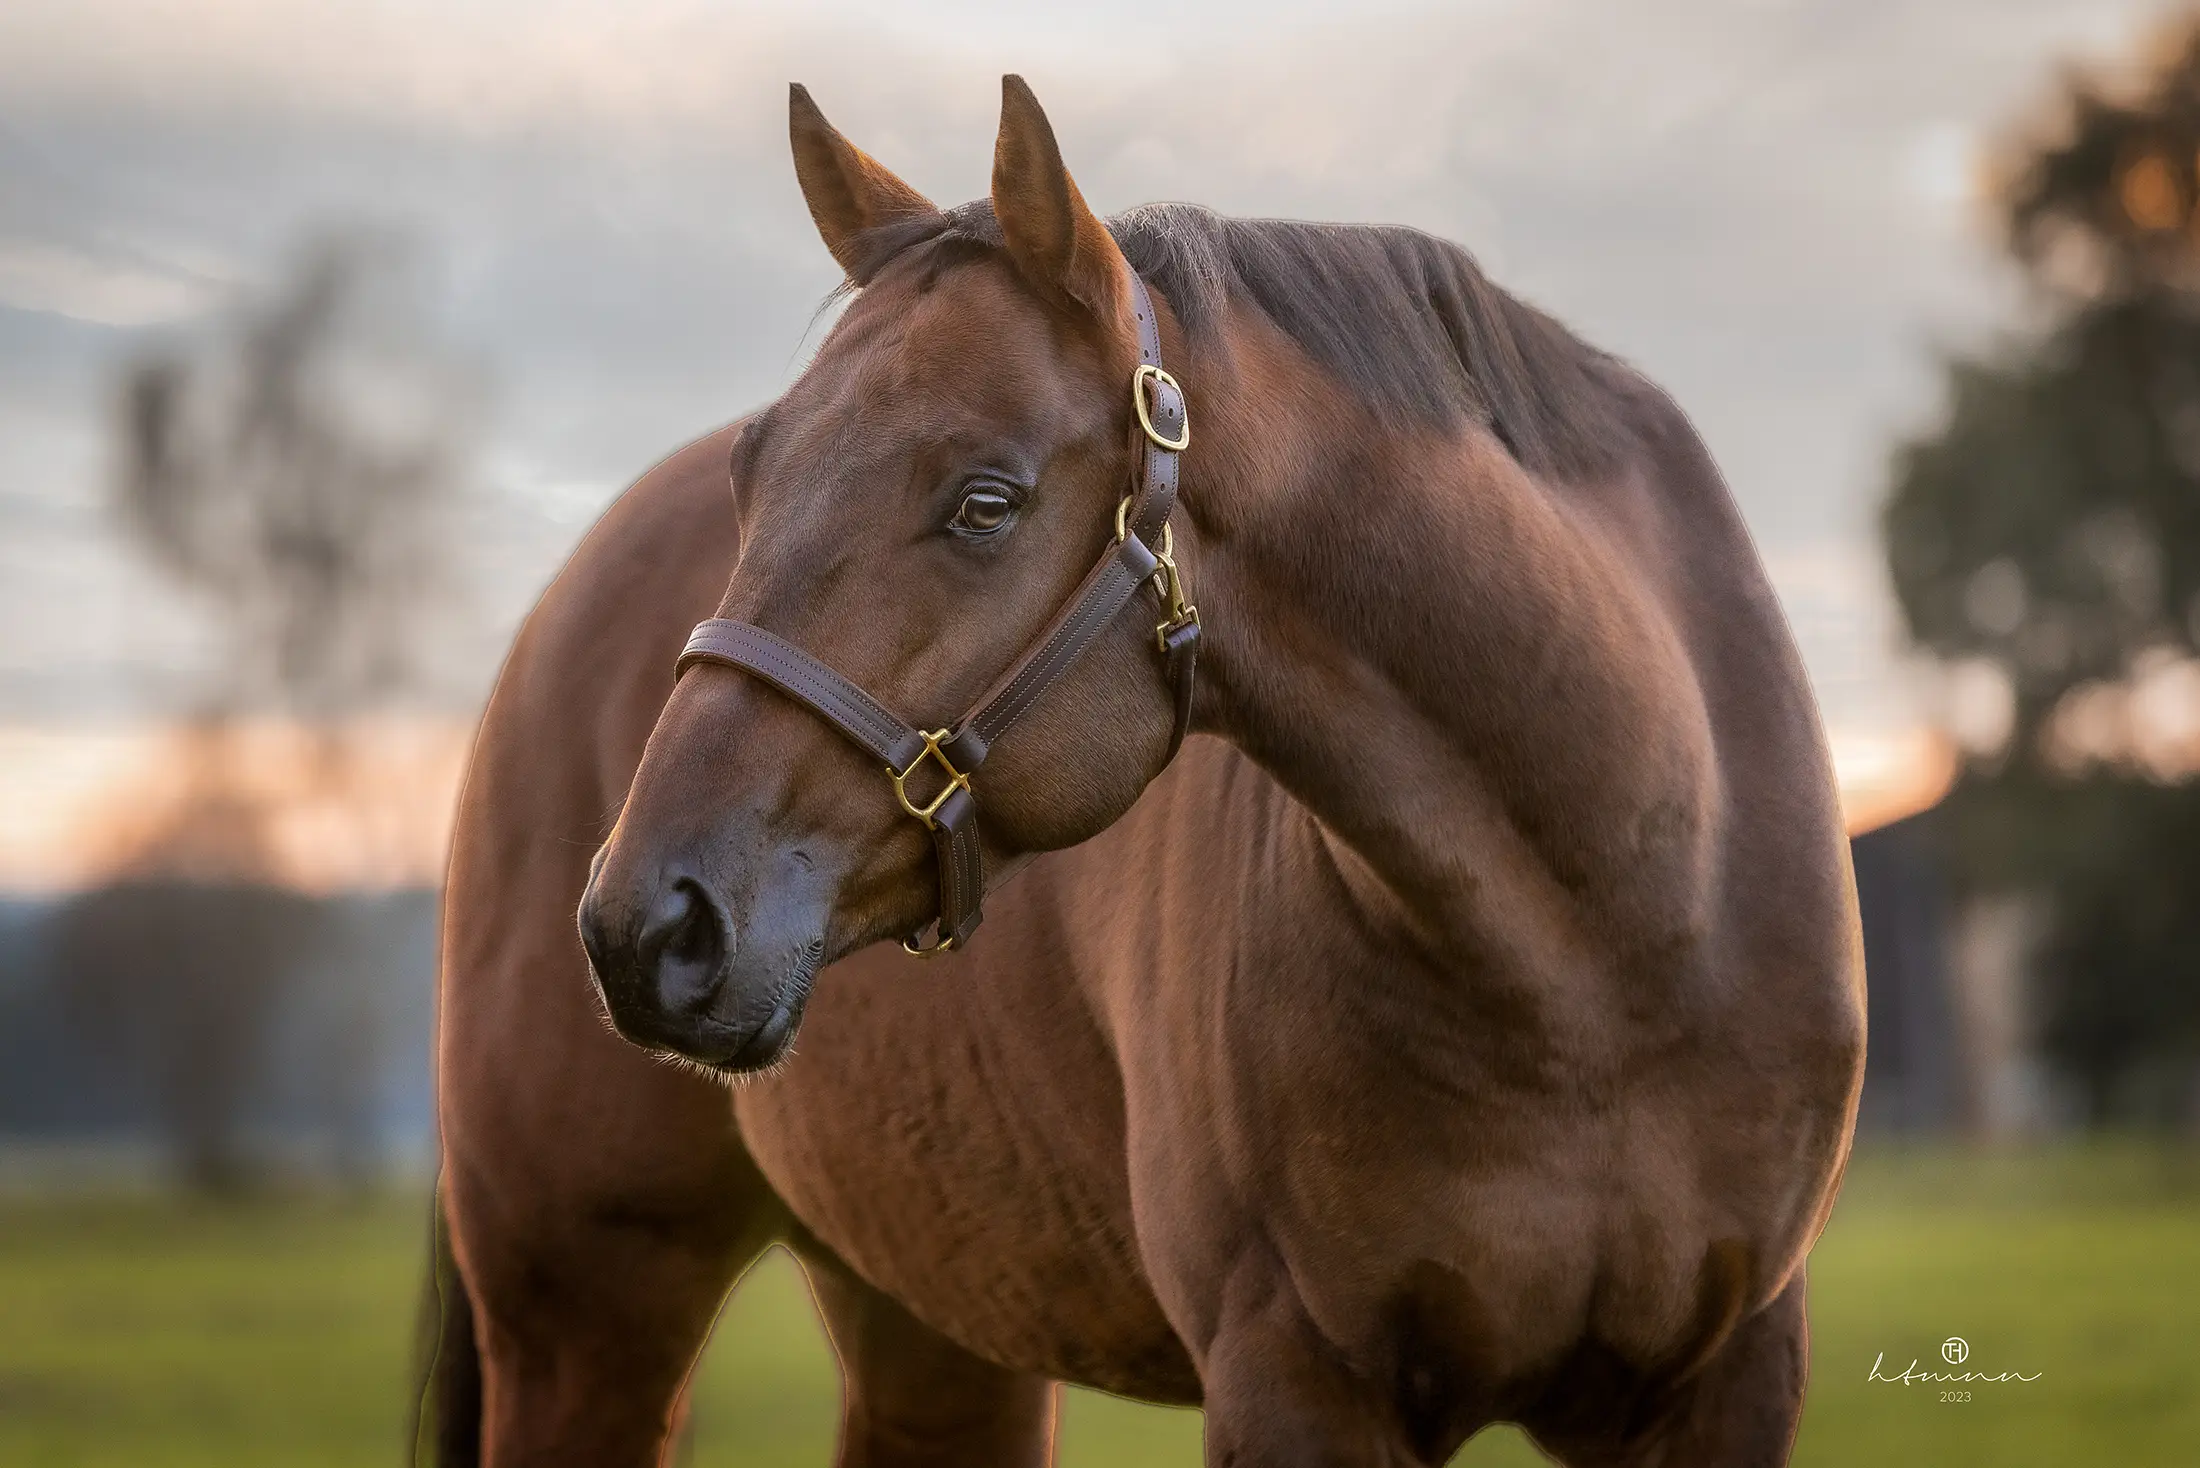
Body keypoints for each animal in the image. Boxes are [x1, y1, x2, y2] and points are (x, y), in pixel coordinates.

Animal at [424, 77, 1856, 1468]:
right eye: (749, 471)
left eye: (985, 501)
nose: (646, 921)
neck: (1608, 945)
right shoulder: (1294, 1382)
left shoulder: (1731, 1377)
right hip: (582, 1322)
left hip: (935, 1327)